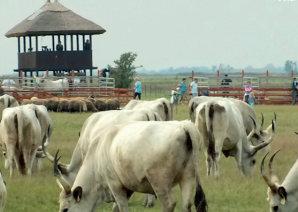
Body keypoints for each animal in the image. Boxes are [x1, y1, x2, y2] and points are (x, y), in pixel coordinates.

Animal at [54, 121, 207, 212]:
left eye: (65, 209)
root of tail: (183, 126)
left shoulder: (115, 186)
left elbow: (122, 208)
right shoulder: (127, 188)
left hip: (160, 183)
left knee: (169, 204)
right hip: (187, 178)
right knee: (186, 204)